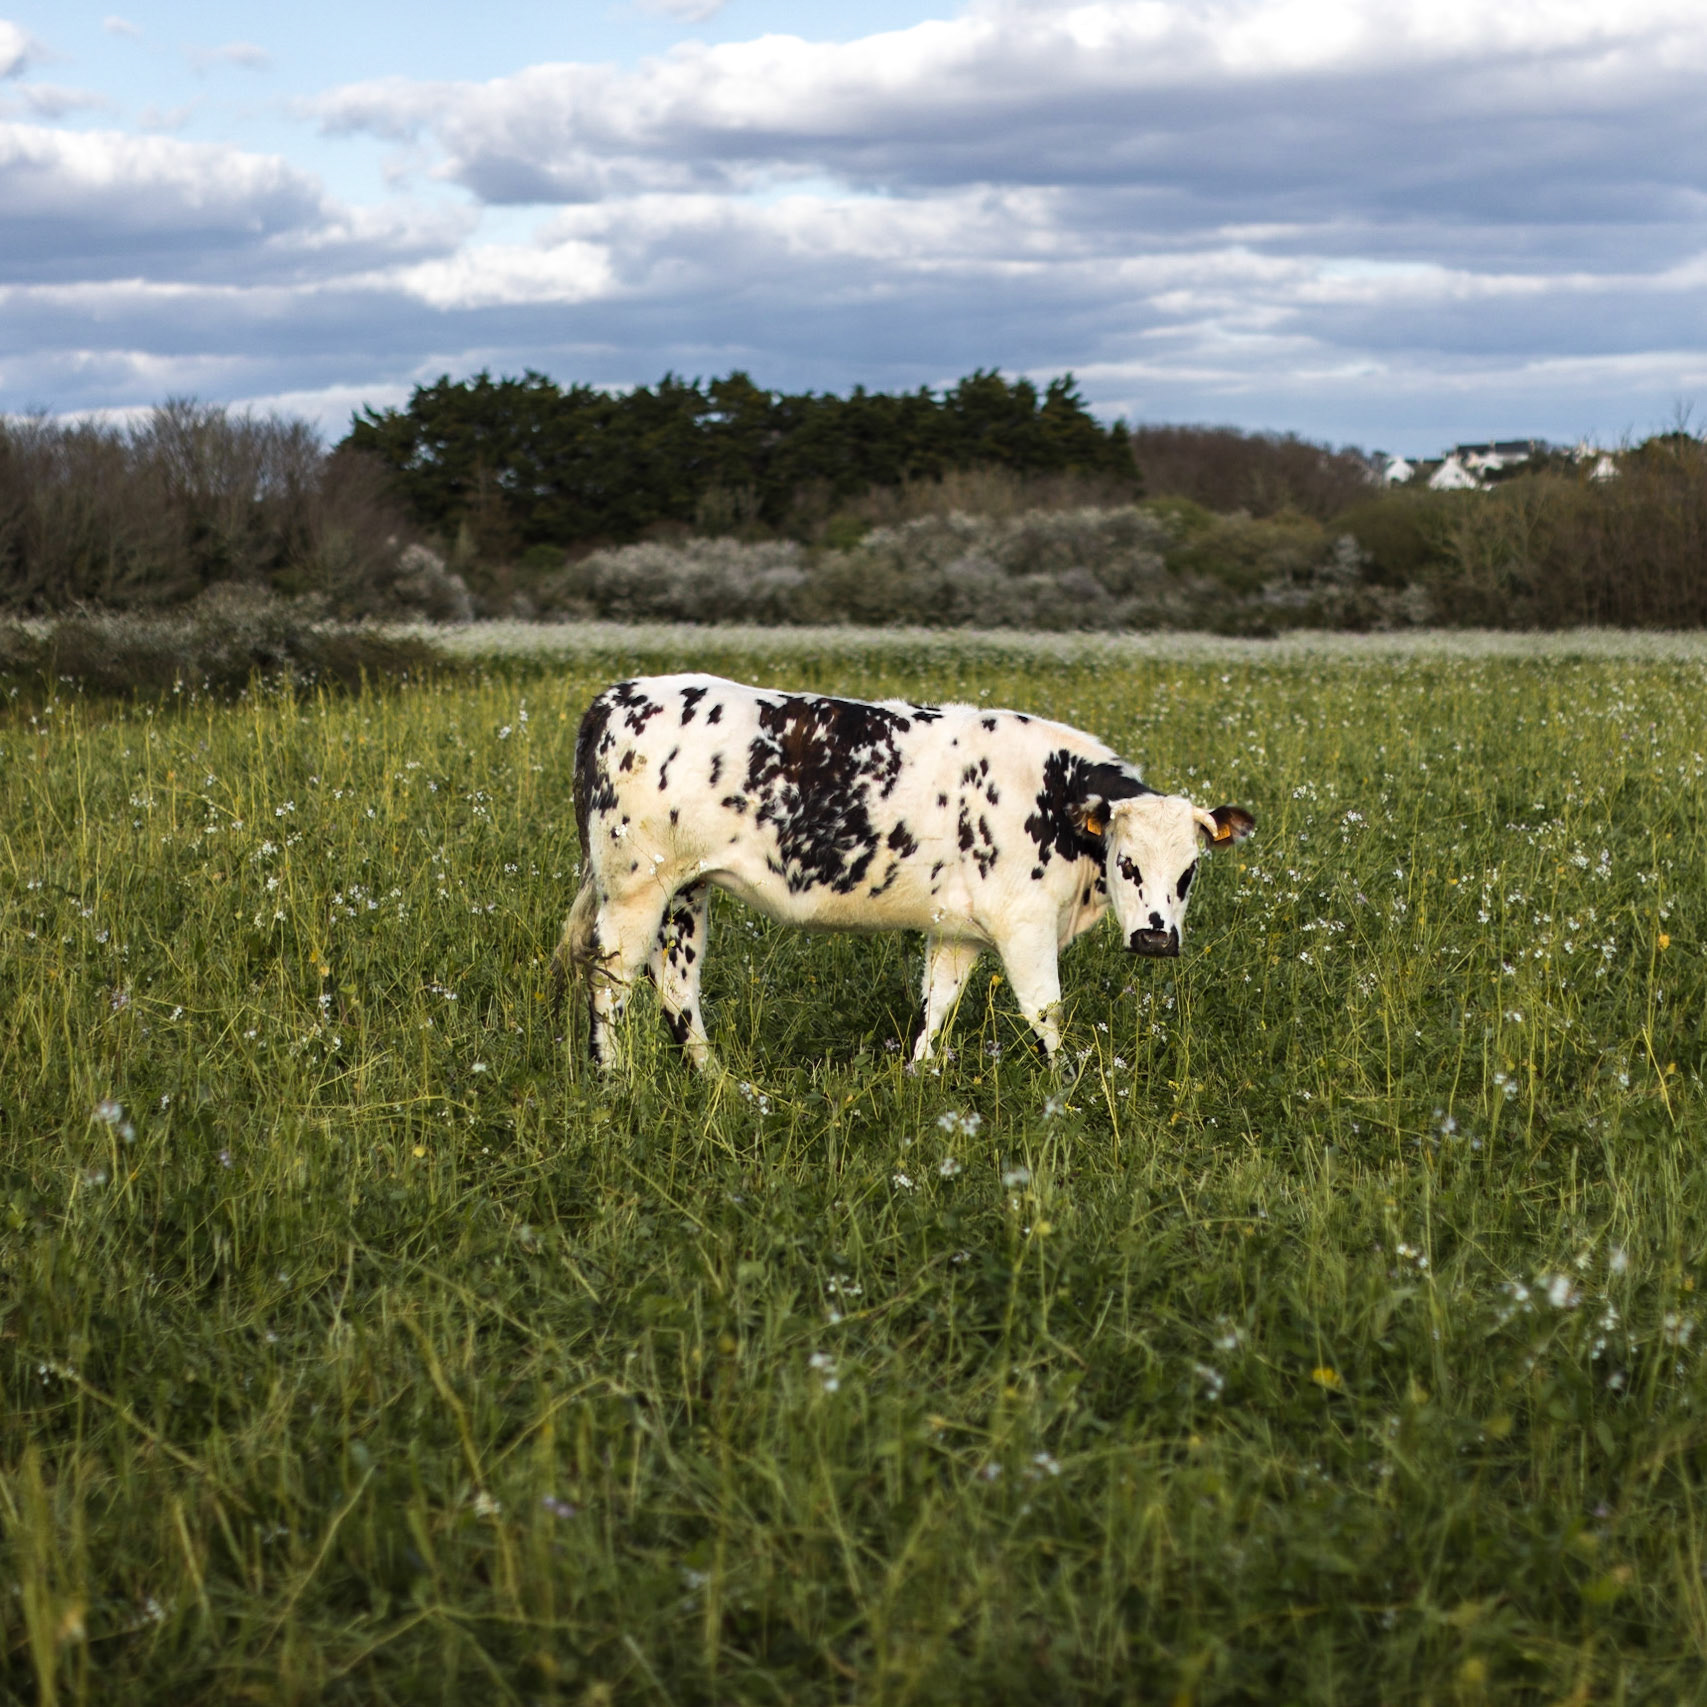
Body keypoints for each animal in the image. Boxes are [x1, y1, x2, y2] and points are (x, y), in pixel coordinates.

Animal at [555, 674, 1254, 1069]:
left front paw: (918, 1081)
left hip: (685, 890)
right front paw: (1070, 1091)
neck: (1053, 796)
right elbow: (1046, 1014)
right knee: (611, 979)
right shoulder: (1024, 926)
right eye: (1125, 860)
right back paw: (614, 1079)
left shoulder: (958, 930)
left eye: (1190, 871)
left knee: (677, 987)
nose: (1156, 937)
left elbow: (935, 1008)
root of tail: (618, 696)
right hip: (634, 889)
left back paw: (719, 1083)